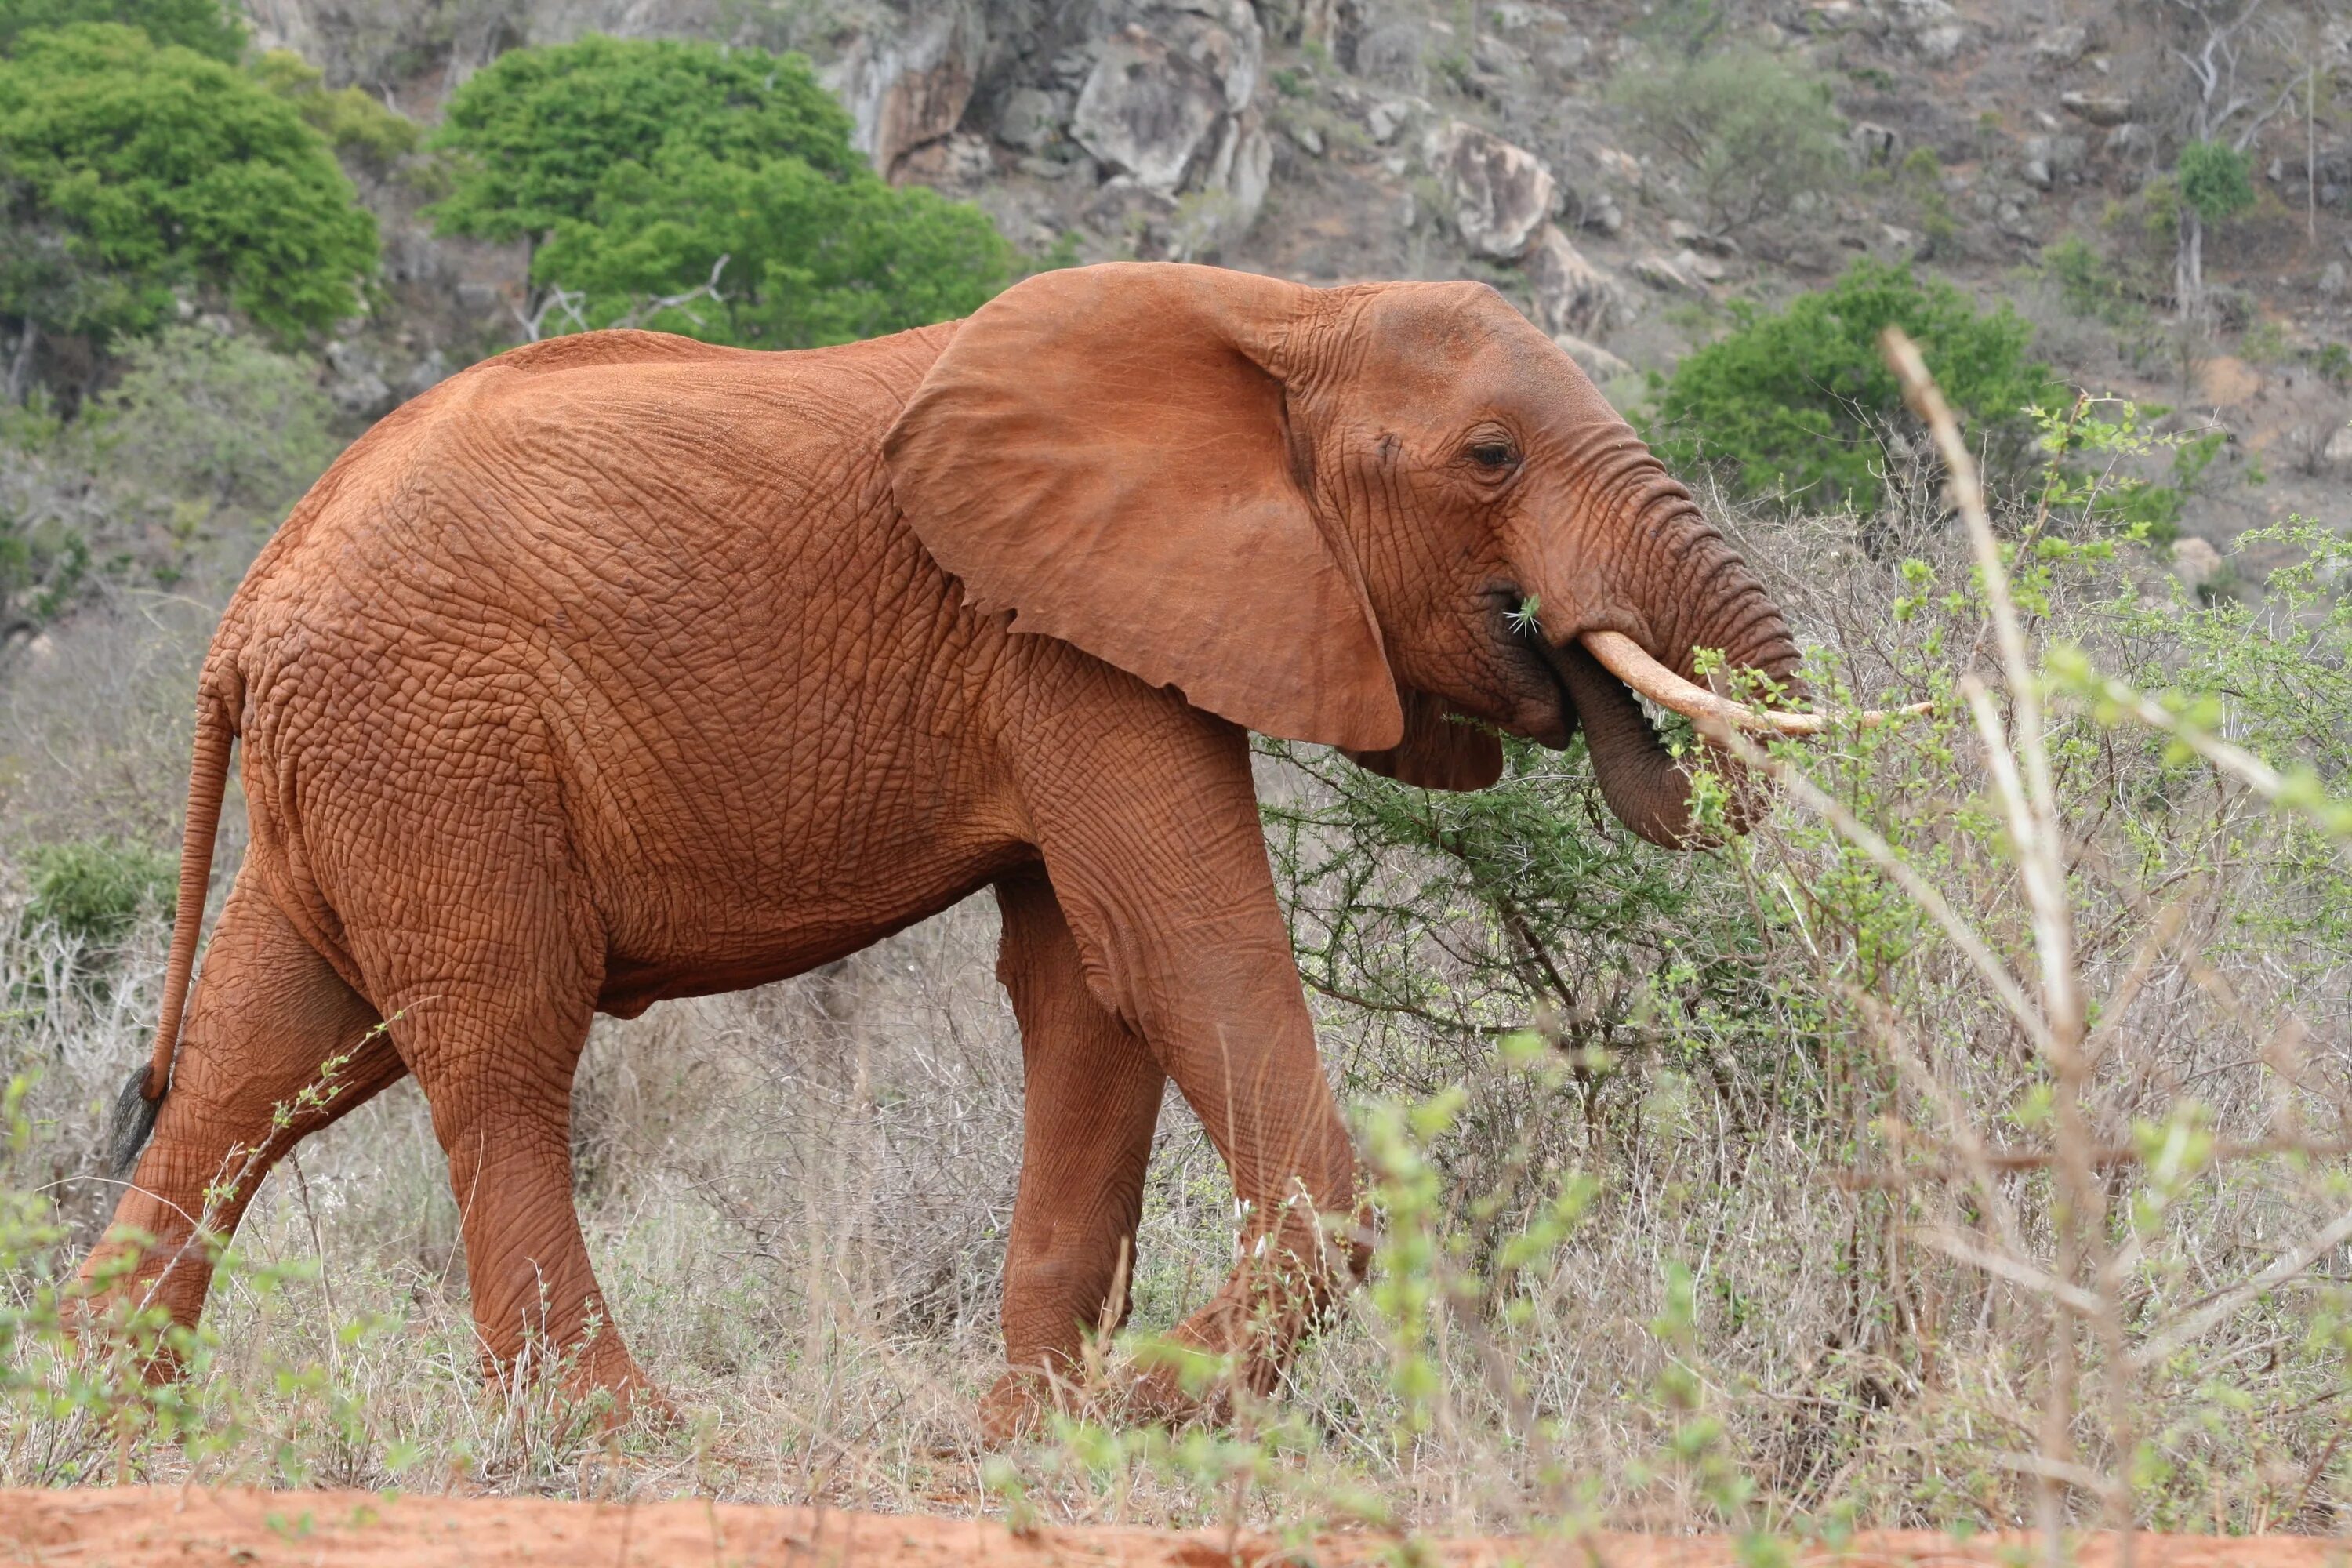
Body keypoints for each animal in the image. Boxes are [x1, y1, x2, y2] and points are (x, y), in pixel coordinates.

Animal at [78, 260, 1835, 1439]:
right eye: (1490, 457)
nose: (1588, 669)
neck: (1282, 313)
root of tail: (248, 605)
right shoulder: (1063, 639)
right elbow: (1181, 945)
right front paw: (1135, 1414)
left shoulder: (1075, 629)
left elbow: (1091, 989)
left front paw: (1026, 1429)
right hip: (435, 745)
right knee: (499, 1047)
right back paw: (619, 1438)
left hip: (366, 766)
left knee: (263, 1062)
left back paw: (108, 1415)